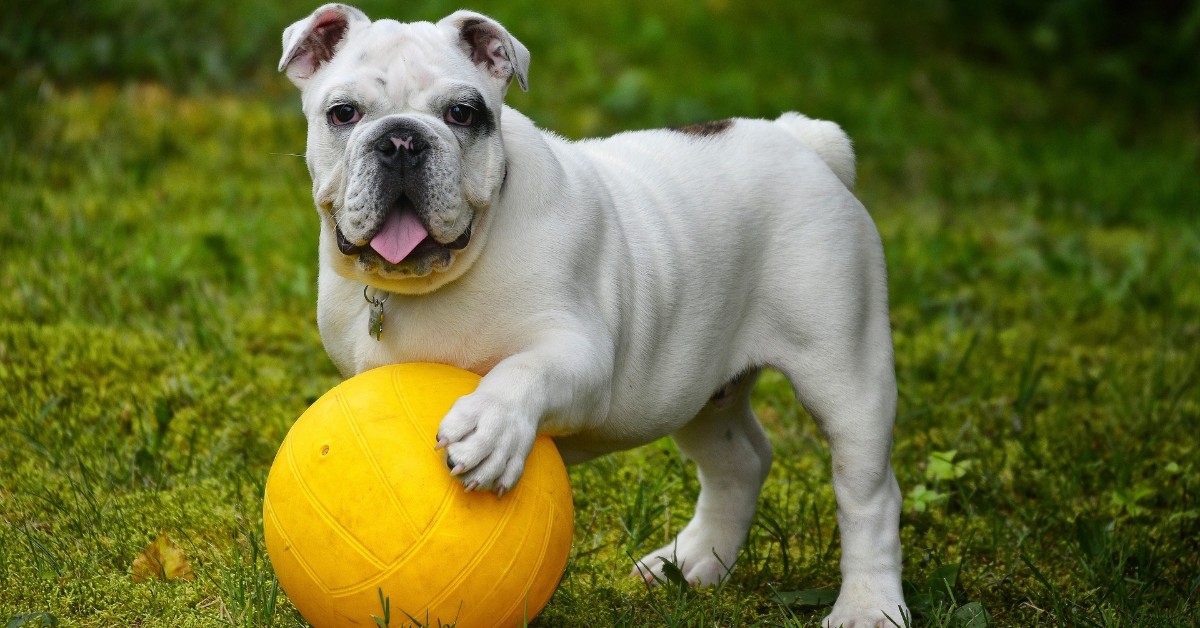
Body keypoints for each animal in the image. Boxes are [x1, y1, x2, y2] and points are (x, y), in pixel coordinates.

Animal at [276, 4, 902, 624]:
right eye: (343, 113)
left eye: (461, 113)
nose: (402, 139)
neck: (434, 281)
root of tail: (799, 138)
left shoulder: (580, 357)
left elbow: (523, 370)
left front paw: (490, 427)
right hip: (697, 384)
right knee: (738, 461)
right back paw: (692, 562)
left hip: (843, 371)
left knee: (869, 494)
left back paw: (868, 605)